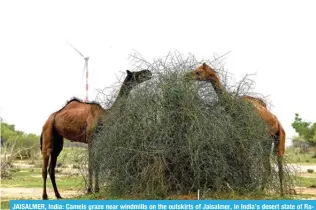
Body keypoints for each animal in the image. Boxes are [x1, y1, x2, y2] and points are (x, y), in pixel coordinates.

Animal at [39, 69, 152, 199]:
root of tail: (47, 120)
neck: (105, 116)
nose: (148, 72)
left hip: (57, 139)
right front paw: (89, 189)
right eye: (136, 74)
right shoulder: (91, 139)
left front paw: (97, 189)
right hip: (48, 132)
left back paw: (58, 195)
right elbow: (91, 164)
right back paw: (45, 196)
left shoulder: (98, 140)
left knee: (51, 168)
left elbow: (97, 162)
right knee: (45, 165)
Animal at [185, 62, 286, 195]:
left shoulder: (246, 134)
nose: (186, 76)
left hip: (269, 139)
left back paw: (269, 192)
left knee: (272, 165)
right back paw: (271, 191)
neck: (235, 108)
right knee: (274, 164)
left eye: (198, 72)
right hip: (273, 139)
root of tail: (277, 123)